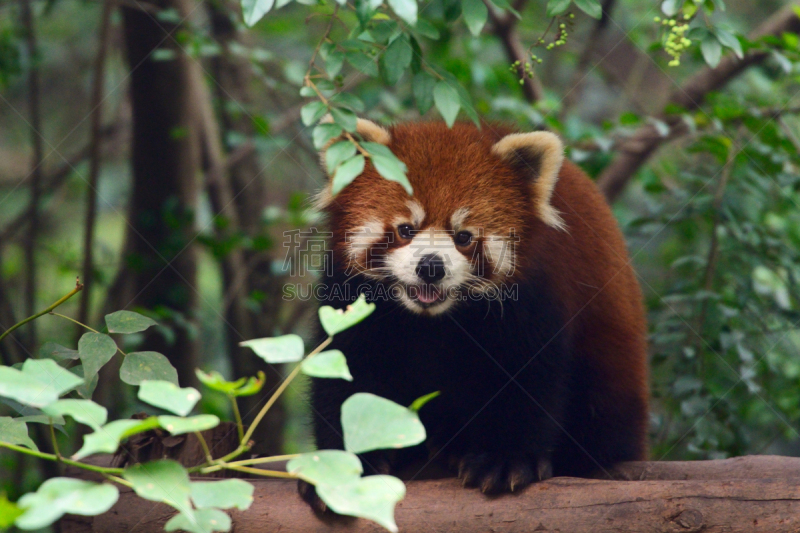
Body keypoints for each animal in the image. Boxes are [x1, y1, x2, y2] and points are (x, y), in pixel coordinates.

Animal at [300, 118, 648, 500]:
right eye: (405, 229)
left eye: (463, 237)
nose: (431, 267)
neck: (434, 318)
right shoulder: (352, 297)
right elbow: (348, 368)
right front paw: (345, 460)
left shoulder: (534, 297)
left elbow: (525, 376)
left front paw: (505, 460)